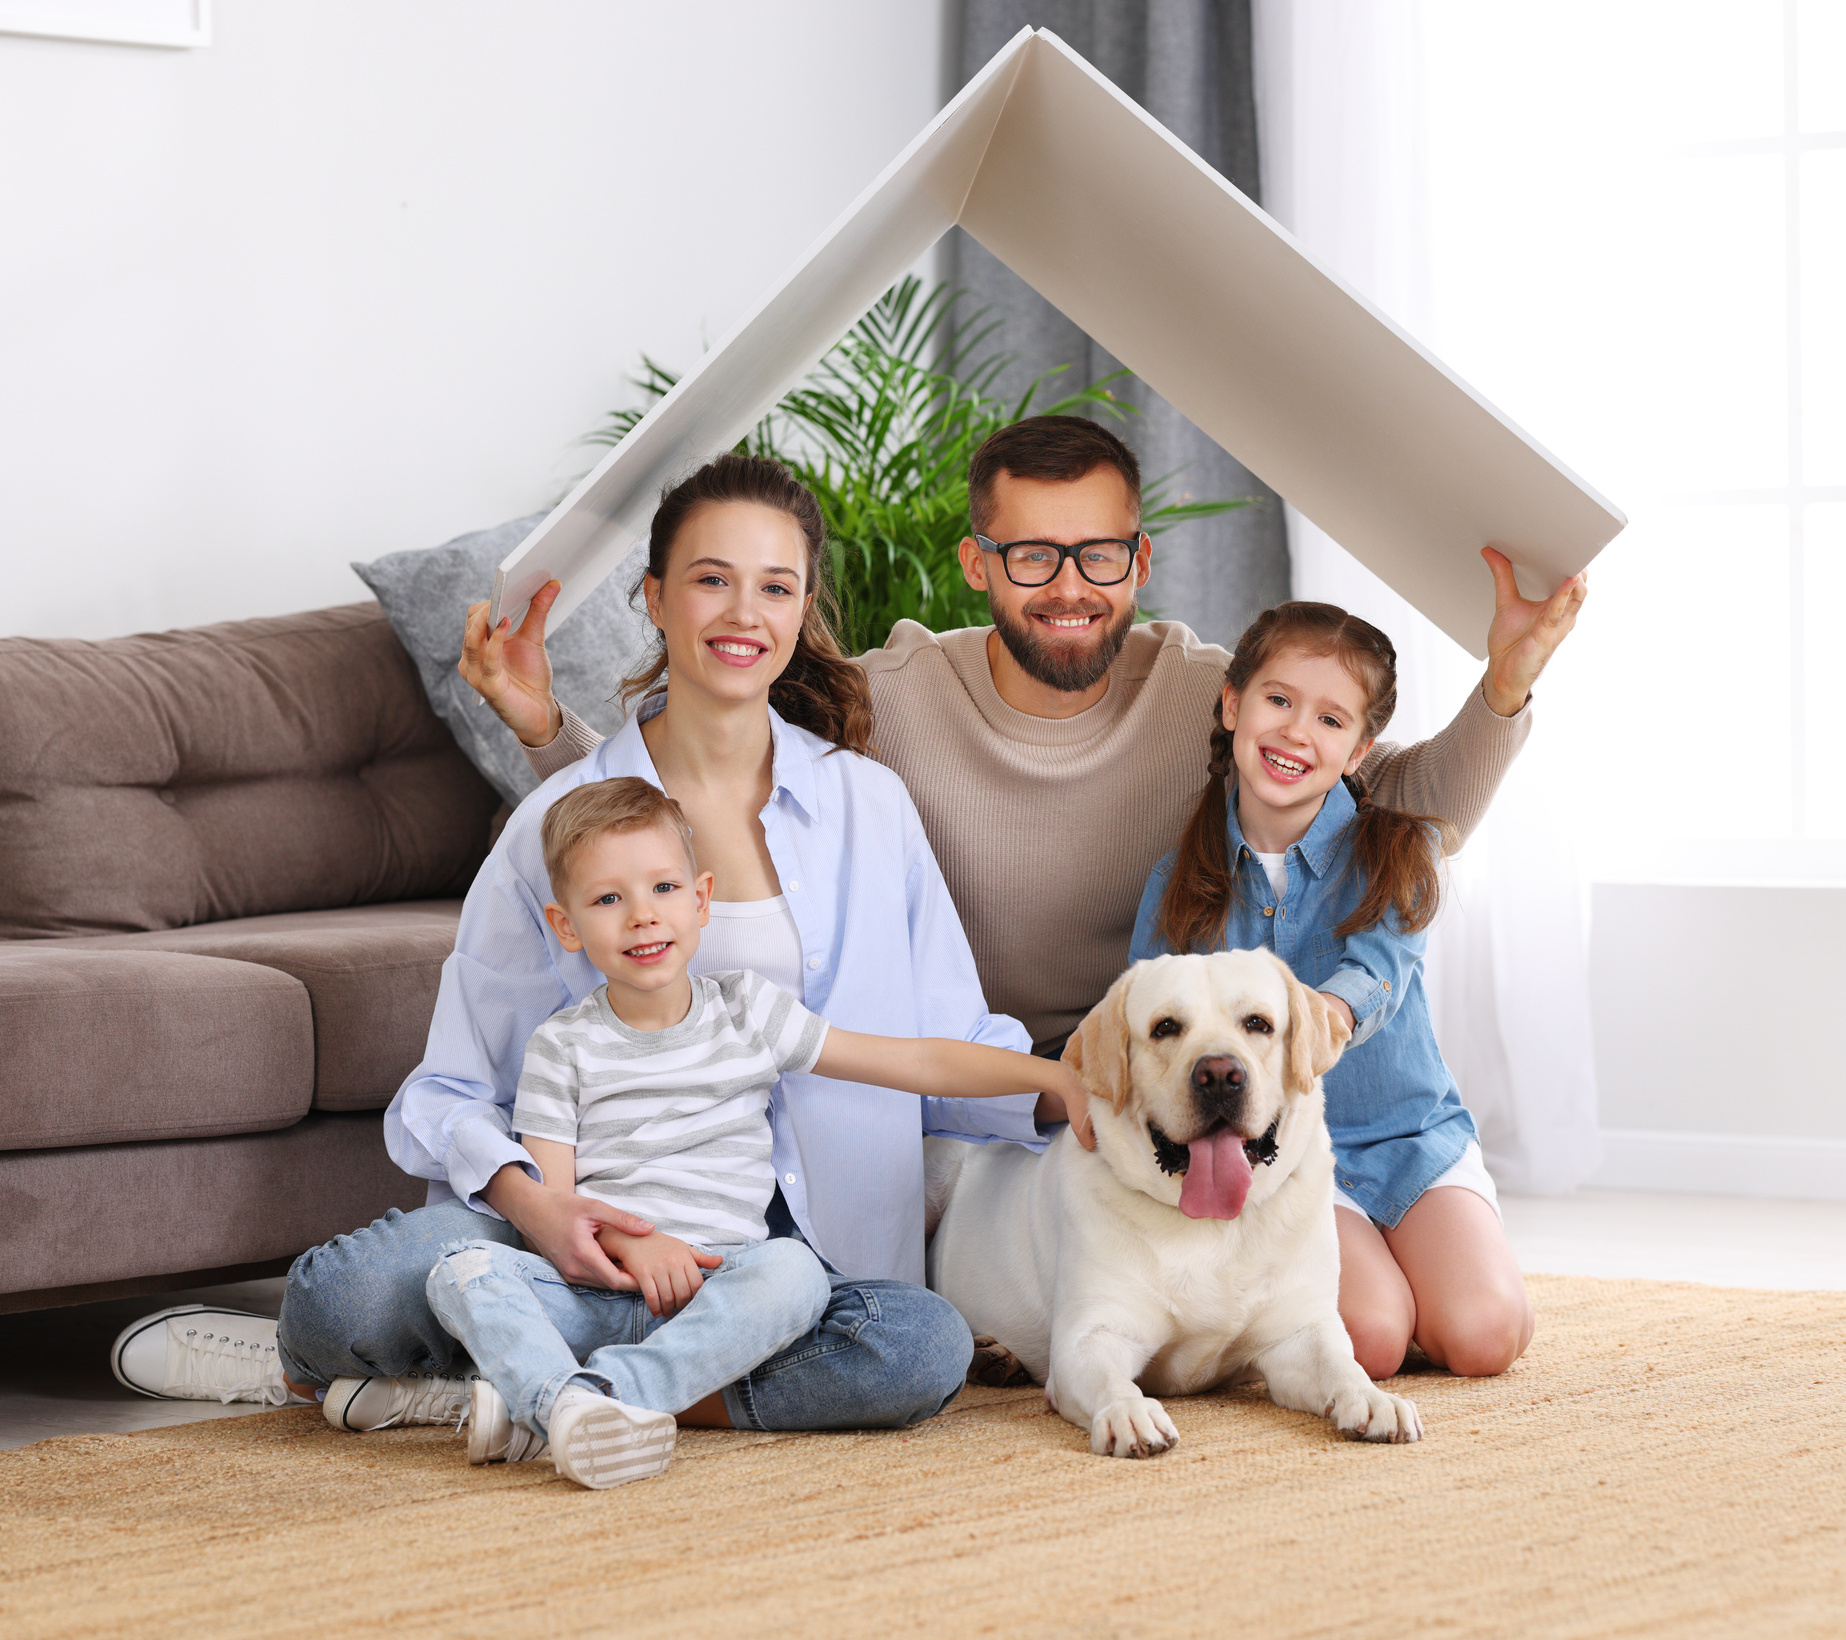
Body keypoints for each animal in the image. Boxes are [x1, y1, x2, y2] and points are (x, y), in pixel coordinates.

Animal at [930, 945, 1417, 1462]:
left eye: (1259, 1023)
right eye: (1165, 1027)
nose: (1220, 1075)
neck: (1212, 1223)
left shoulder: (1298, 1335)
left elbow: (1342, 1365)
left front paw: (1373, 1398)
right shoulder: (1092, 1336)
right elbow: (1110, 1379)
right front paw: (1129, 1412)